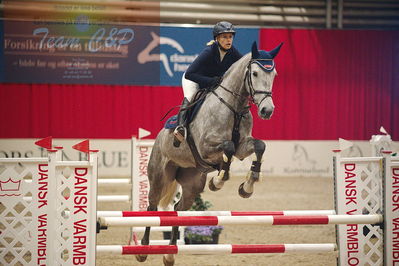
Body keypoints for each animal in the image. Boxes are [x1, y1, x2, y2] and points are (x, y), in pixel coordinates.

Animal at [136, 42, 282, 266]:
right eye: (255, 73)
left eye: (273, 74)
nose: (267, 110)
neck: (233, 106)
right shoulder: (206, 146)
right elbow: (228, 147)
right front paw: (219, 180)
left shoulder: (243, 147)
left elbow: (259, 146)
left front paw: (247, 185)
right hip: (160, 176)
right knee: (152, 207)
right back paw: (143, 250)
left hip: (192, 183)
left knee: (178, 208)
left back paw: (169, 254)